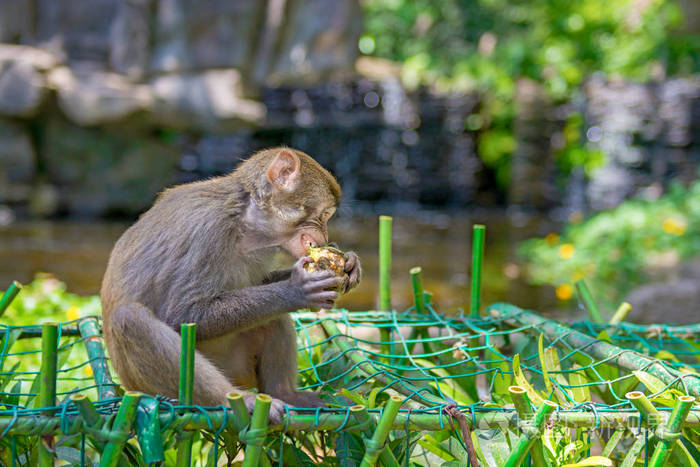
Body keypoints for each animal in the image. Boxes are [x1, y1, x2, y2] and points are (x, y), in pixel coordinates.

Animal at [101, 148, 364, 422]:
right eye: (323, 215)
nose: (325, 237)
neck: (246, 222)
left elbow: (260, 284)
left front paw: (350, 264)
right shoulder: (207, 231)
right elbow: (183, 313)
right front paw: (296, 290)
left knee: (271, 316)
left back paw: (286, 395)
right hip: (153, 387)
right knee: (130, 320)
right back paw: (234, 400)